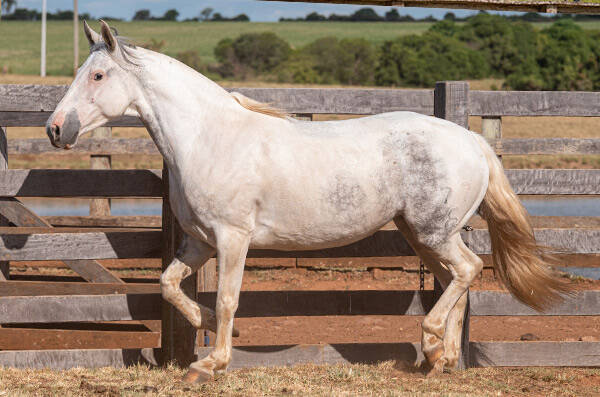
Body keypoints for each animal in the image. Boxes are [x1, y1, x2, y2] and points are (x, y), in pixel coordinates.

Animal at [47, 21, 568, 380]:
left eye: (97, 75)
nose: (55, 129)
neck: (207, 138)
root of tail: (472, 142)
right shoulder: (199, 242)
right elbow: (170, 286)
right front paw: (204, 333)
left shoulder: (232, 239)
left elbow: (229, 299)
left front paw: (212, 362)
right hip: (425, 234)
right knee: (455, 279)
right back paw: (441, 360)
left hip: (433, 231)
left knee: (468, 270)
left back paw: (435, 342)